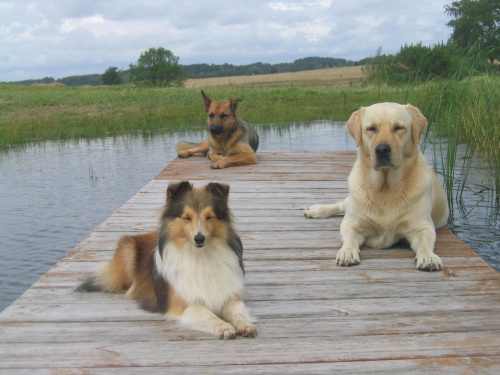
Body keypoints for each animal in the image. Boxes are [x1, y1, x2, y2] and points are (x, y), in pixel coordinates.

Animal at [79, 181, 258, 340]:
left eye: (209, 217)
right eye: (187, 218)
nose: (199, 238)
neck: (200, 255)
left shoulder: (229, 297)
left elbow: (238, 312)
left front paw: (245, 325)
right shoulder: (185, 304)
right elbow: (209, 315)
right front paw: (224, 327)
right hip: (128, 250)